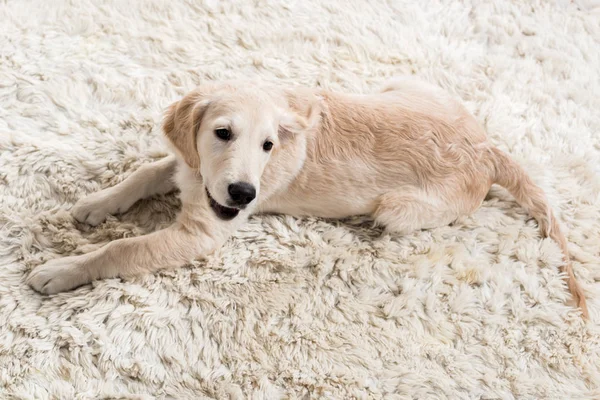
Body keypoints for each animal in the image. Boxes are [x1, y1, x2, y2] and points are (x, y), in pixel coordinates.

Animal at [25, 79, 588, 318]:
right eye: (222, 133)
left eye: (269, 145)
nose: (243, 193)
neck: (204, 179)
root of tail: (489, 148)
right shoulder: (189, 166)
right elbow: (144, 173)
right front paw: (96, 203)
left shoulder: (201, 233)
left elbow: (122, 249)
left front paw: (62, 269)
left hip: (399, 210)